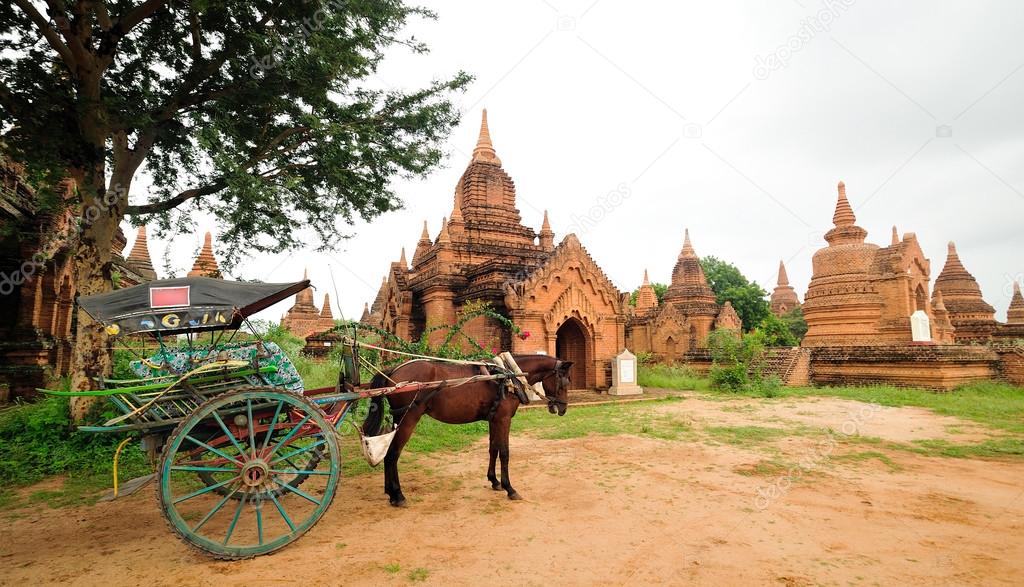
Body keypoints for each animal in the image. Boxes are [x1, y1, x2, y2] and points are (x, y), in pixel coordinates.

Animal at [360, 354, 573, 506]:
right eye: (564, 382)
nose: (563, 408)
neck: (508, 377)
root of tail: (393, 372)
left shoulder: (494, 419)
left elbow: (493, 449)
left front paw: (494, 481)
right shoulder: (503, 419)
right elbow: (504, 452)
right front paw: (510, 488)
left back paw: (390, 493)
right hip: (408, 419)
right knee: (392, 455)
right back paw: (398, 495)